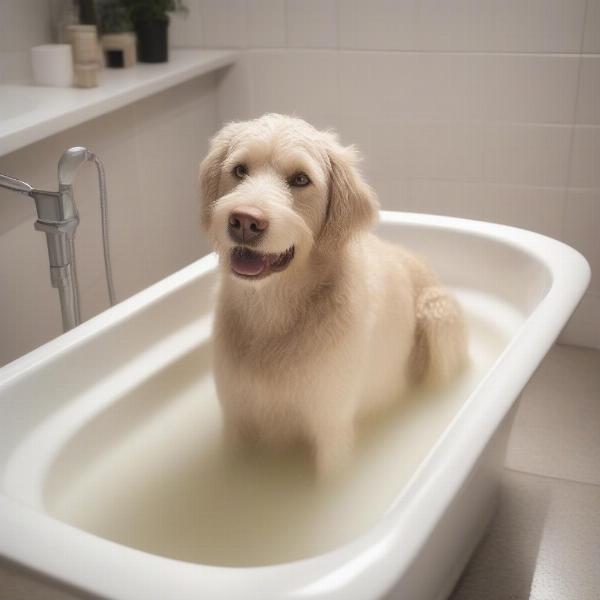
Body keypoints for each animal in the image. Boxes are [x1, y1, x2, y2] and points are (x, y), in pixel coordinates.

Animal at [199, 113, 466, 474]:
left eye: (300, 179)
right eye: (240, 170)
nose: (243, 221)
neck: (272, 312)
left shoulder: (331, 428)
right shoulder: (236, 420)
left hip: (437, 315)